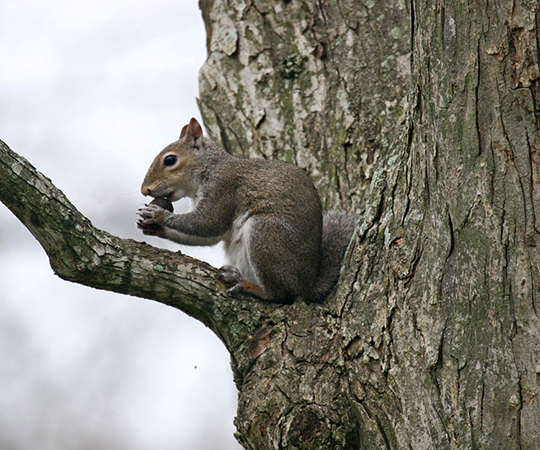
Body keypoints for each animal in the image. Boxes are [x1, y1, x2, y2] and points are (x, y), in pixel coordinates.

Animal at [137, 118, 354, 304]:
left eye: (170, 160)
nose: (144, 190)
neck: (210, 167)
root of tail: (306, 285)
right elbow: (208, 235)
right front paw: (155, 228)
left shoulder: (223, 188)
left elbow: (208, 223)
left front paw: (159, 215)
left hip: (266, 234)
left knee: (282, 295)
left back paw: (248, 286)